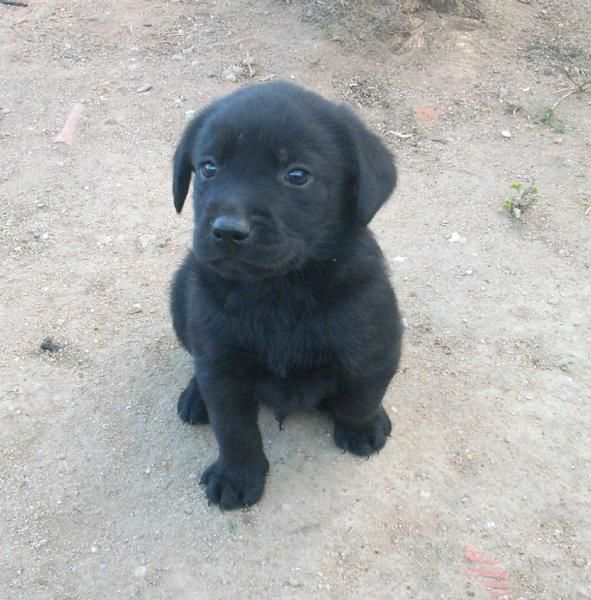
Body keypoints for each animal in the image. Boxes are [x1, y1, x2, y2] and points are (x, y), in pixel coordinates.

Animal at [170, 81, 402, 510]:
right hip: (181, 293)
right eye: (209, 168)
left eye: (297, 175)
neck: (279, 291)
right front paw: (237, 476)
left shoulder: (377, 345)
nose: (227, 230)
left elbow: (362, 395)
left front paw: (361, 428)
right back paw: (195, 394)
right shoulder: (222, 368)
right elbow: (234, 430)